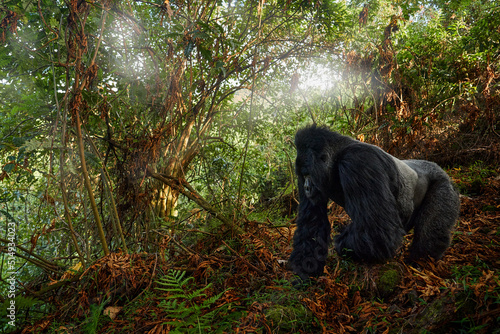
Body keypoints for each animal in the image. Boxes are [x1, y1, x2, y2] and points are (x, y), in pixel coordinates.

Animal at [290, 124, 460, 280]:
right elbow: (312, 225)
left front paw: (341, 244)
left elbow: (377, 231)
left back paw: (421, 261)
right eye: (303, 176)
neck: (336, 157)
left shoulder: (358, 162)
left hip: (442, 182)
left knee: (429, 232)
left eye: (308, 175)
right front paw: (305, 267)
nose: (307, 187)